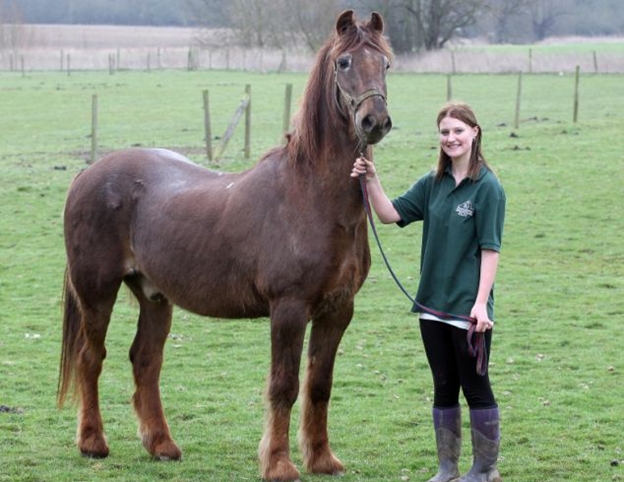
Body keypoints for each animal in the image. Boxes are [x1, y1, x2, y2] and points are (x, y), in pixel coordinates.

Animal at [57, 9, 390, 480]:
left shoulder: (337, 310)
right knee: (91, 357)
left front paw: (322, 459)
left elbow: (319, 385)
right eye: (344, 63)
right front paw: (279, 463)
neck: (309, 195)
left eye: (385, 63)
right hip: (96, 292)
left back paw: (162, 445)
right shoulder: (289, 309)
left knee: (145, 360)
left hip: (154, 296)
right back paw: (92, 443)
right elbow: (284, 386)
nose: (375, 121)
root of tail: (87, 173)